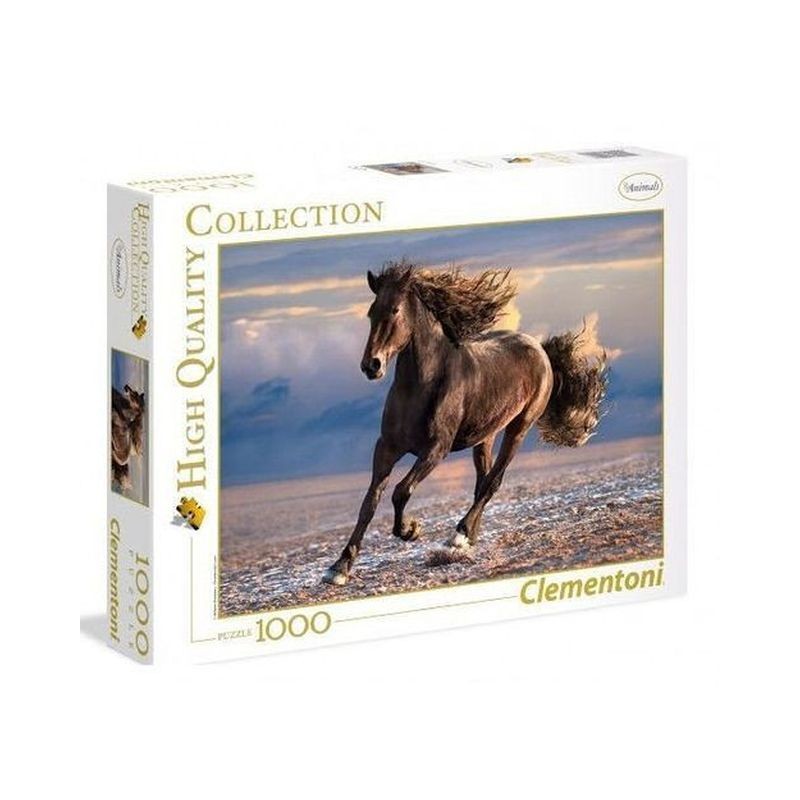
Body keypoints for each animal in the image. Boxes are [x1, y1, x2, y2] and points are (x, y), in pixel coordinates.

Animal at [323, 261, 607, 586]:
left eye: (394, 310)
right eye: (371, 312)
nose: (371, 365)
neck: (420, 386)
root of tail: (539, 349)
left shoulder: (436, 449)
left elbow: (401, 491)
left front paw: (410, 530)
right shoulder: (387, 448)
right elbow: (369, 503)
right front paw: (339, 568)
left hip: (518, 428)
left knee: (492, 482)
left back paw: (457, 537)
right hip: (485, 435)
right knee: (482, 481)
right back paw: (468, 537)